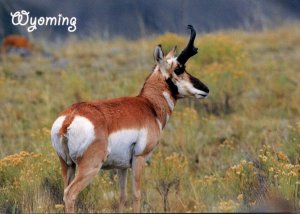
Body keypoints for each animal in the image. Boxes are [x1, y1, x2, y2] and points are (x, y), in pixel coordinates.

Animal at [50, 25, 209, 212]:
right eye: (179, 69)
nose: (205, 89)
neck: (149, 105)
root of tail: (70, 117)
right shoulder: (139, 159)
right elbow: (136, 195)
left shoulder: (121, 167)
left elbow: (122, 197)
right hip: (90, 167)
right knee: (70, 194)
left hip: (67, 165)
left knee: (65, 191)